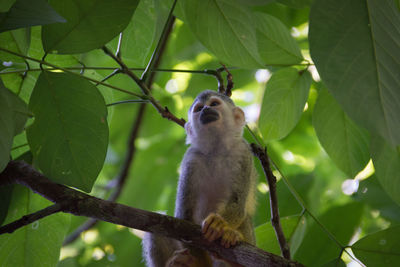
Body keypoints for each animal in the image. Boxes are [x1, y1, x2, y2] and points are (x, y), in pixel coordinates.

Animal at [142, 90, 258, 267]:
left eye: (214, 104)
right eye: (198, 108)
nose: (205, 110)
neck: (216, 149)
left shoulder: (243, 152)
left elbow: (238, 205)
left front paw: (220, 224)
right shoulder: (191, 158)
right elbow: (184, 214)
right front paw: (198, 262)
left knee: (245, 217)